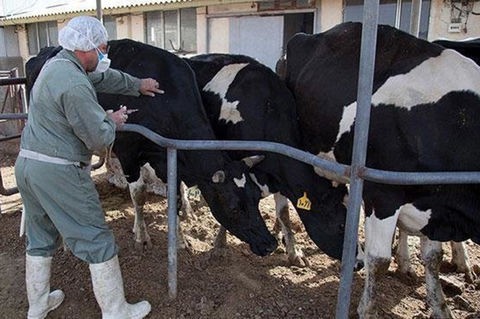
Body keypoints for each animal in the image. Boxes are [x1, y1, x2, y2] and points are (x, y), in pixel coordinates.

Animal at [26, 40, 280, 258]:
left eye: (257, 198)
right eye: (234, 207)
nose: (269, 244)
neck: (165, 99)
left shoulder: (169, 158)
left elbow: (175, 199)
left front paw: (180, 241)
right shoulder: (129, 153)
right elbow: (138, 196)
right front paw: (141, 237)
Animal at [184, 53, 352, 266]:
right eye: (341, 225)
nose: (359, 263)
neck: (267, 109)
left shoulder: (278, 177)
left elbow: (284, 214)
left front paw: (294, 252)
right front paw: (220, 245)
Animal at [284, 21, 480, 318]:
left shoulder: (434, 208)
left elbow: (433, 258)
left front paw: (440, 308)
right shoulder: (383, 194)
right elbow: (378, 261)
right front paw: (366, 309)